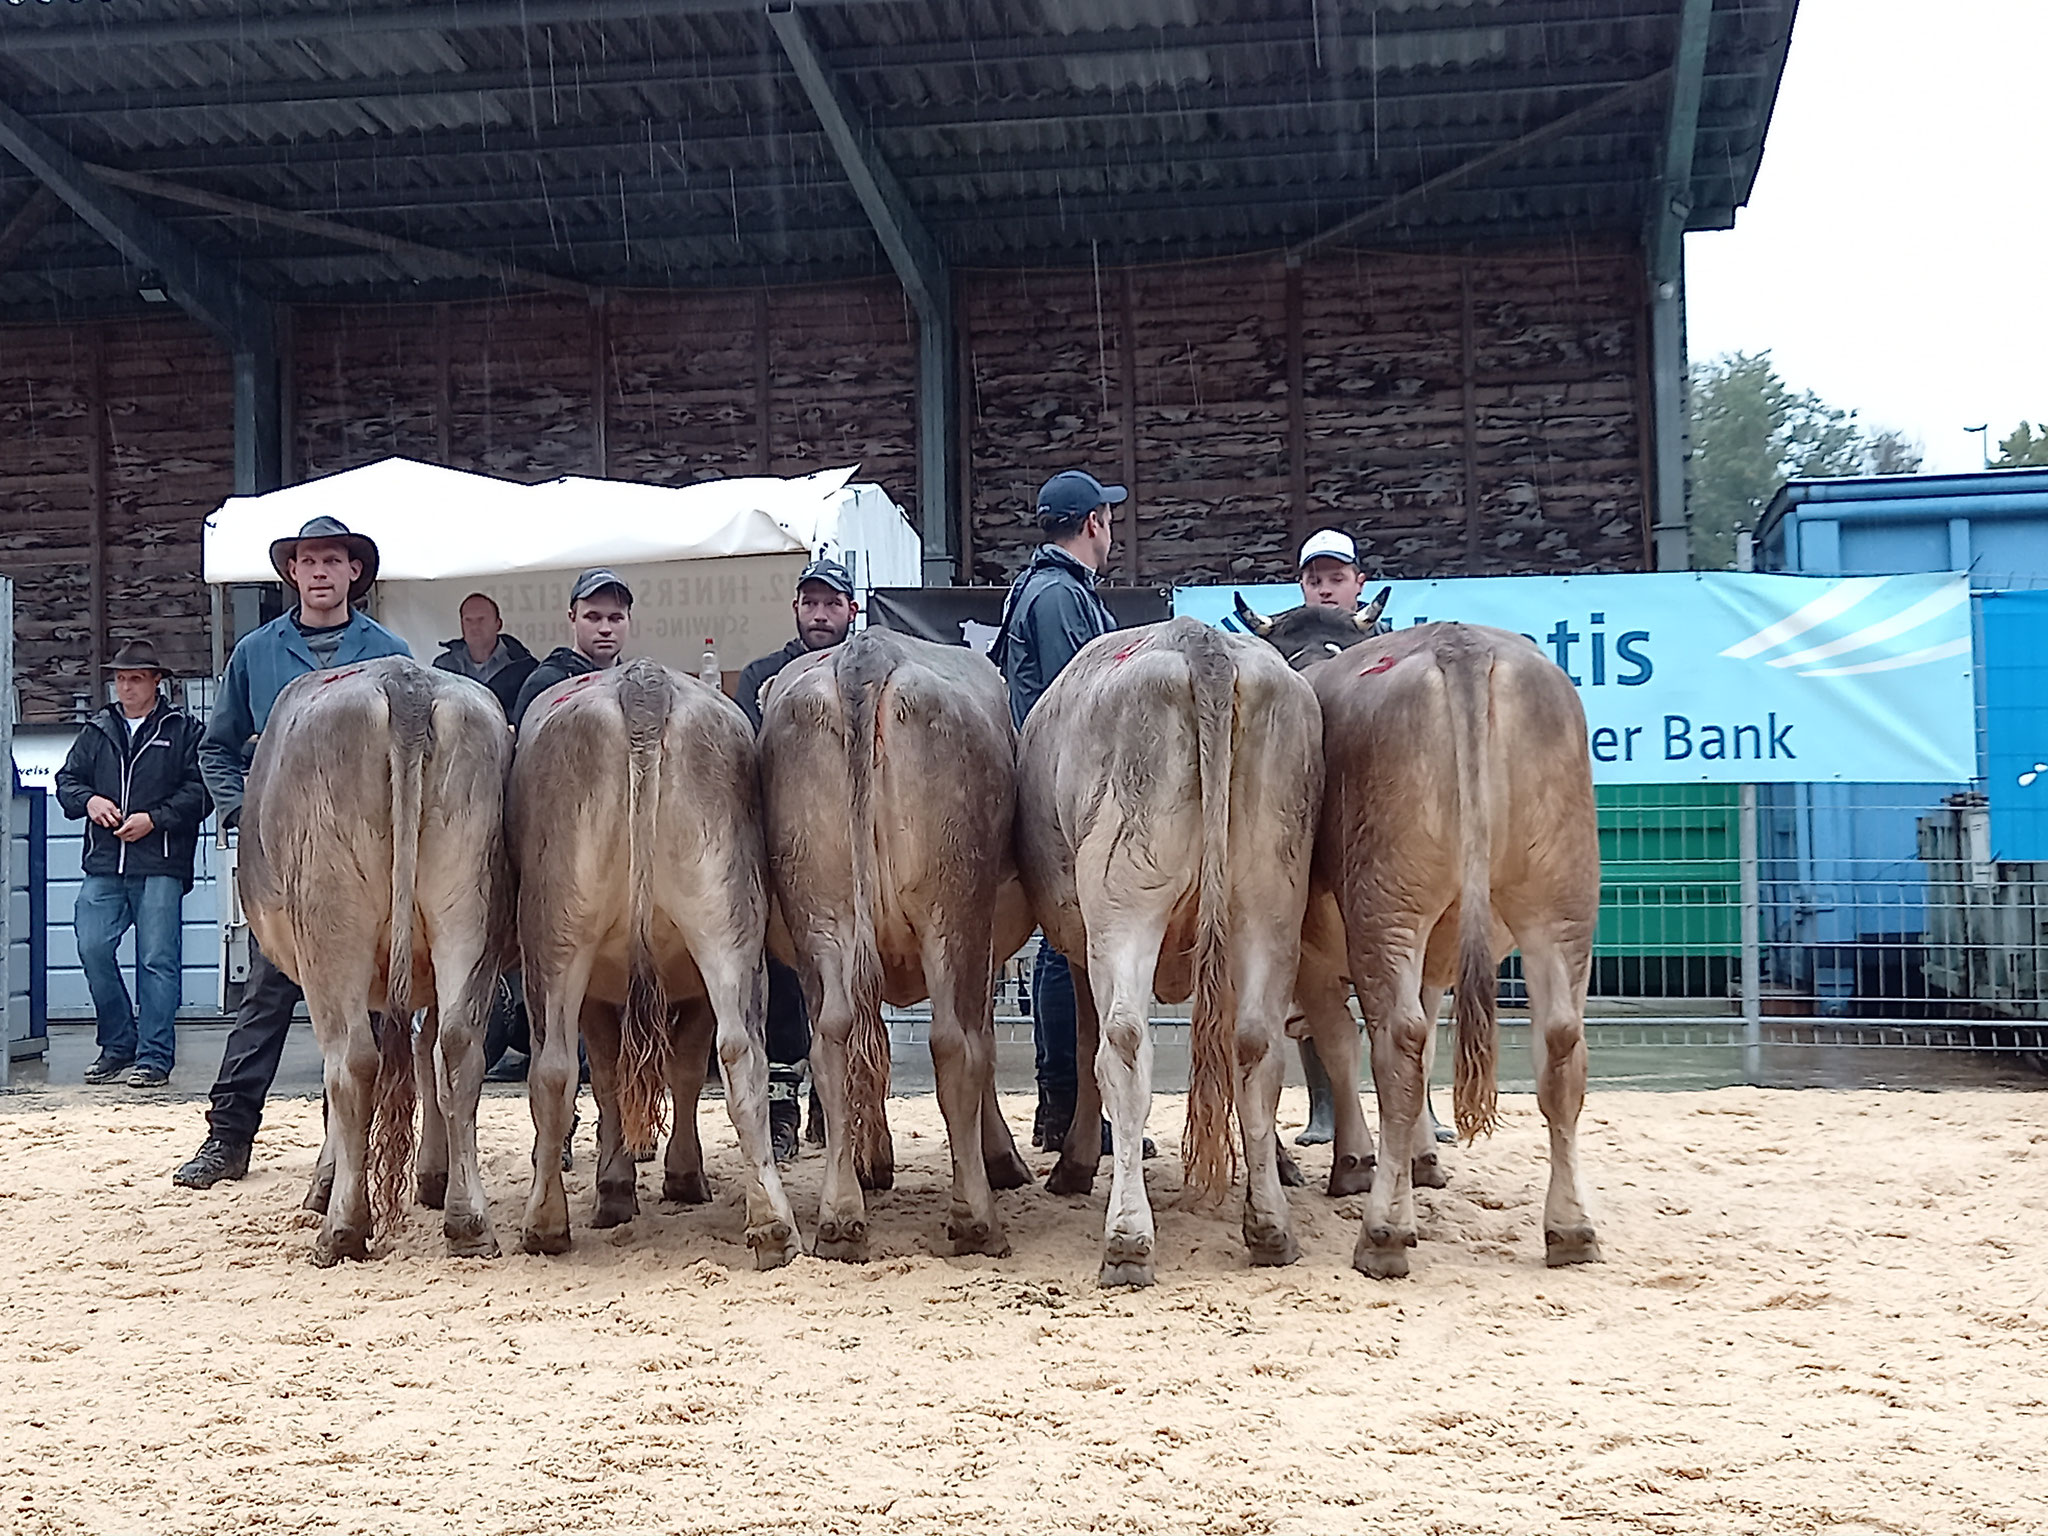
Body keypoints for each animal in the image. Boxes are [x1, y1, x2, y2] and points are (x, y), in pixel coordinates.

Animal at [237, 655, 512, 1269]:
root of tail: (405, 684)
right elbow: (427, 1056)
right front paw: (432, 1176)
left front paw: (325, 1184)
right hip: (470, 906)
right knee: (460, 1048)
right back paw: (469, 1222)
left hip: (332, 923)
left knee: (352, 1062)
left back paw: (342, 1228)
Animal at [509, 655, 798, 1269]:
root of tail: (644, 683)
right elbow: (658, 1072)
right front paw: (663, 1179)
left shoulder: (604, 995)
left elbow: (622, 1075)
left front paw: (626, 1185)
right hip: (720, 922)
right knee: (740, 1053)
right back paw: (772, 1227)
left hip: (561, 935)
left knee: (556, 1067)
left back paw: (545, 1224)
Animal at [757, 626, 1032, 1261]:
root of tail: (868, 652)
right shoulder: (985, 949)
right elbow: (983, 1044)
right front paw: (1000, 1158)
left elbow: (872, 1045)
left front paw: (872, 1161)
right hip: (953, 910)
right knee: (955, 1042)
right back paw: (975, 1220)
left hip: (821, 910)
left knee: (833, 1038)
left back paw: (840, 1217)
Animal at [1011, 614, 1327, 1286]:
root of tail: (1201, 642)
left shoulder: (1078, 942)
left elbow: (1084, 1038)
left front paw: (1074, 1165)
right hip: (1271, 893)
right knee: (1256, 1043)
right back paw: (1270, 1228)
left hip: (1122, 898)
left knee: (1124, 1044)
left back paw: (1128, 1241)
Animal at [1236, 593, 1605, 1277]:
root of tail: (1461, 648)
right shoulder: (1434, 953)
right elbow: (1418, 1038)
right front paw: (1421, 1159)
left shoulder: (1309, 952)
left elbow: (1338, 1043)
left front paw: (1356, 1161)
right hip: (1561, 899)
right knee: (1559, 1041)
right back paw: (1570, 1230)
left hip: (1389, 906)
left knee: (1397, 1046)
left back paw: (1383, 1232)